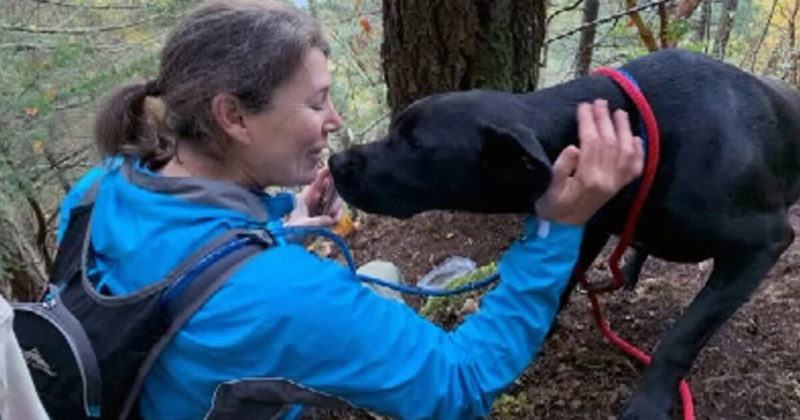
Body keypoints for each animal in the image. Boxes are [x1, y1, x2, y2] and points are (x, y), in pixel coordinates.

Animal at [326, 50, 800, 420]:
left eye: (414, 144)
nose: (334, 162)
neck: (640, 135)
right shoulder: (591, 220)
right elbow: (564, 279)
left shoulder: (763, 243)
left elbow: (684, 334)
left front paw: (649, 400)